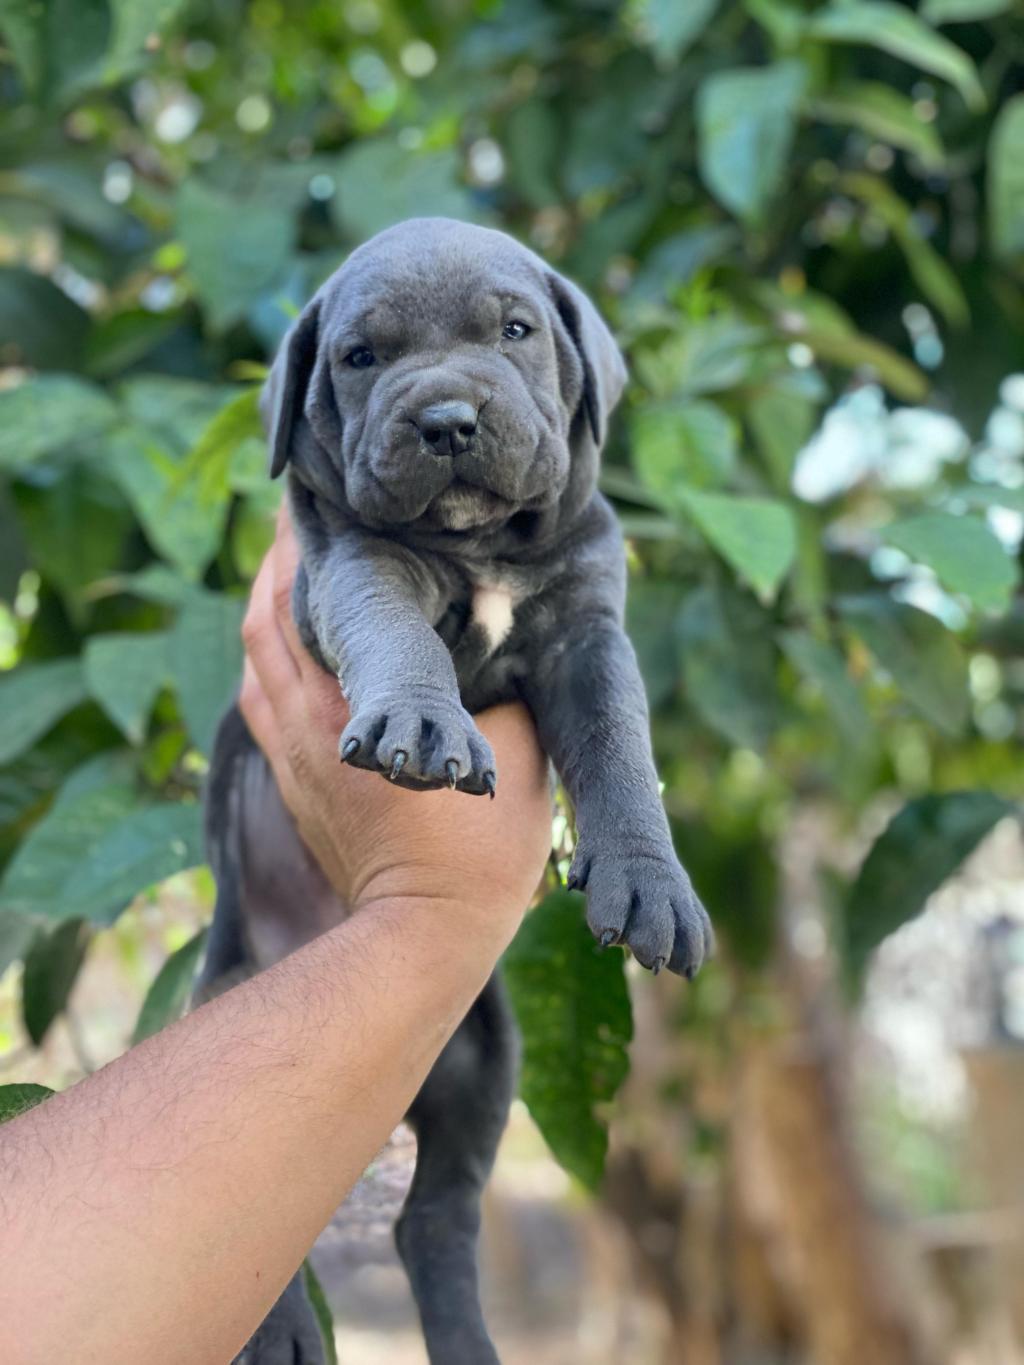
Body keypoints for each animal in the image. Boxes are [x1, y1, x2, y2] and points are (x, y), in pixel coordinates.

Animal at [198, 217, 712, 1364]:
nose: (444, 420)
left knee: (431, 1217)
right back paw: (282, 1332)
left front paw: (652, 883)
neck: (482, 549)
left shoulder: (589, 627)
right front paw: (422, 721)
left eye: (515, 331)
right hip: (226, 1006)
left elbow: (617, 741)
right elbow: (395, 630)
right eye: (358, 358)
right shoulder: (348, 565)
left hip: (483, 1060)